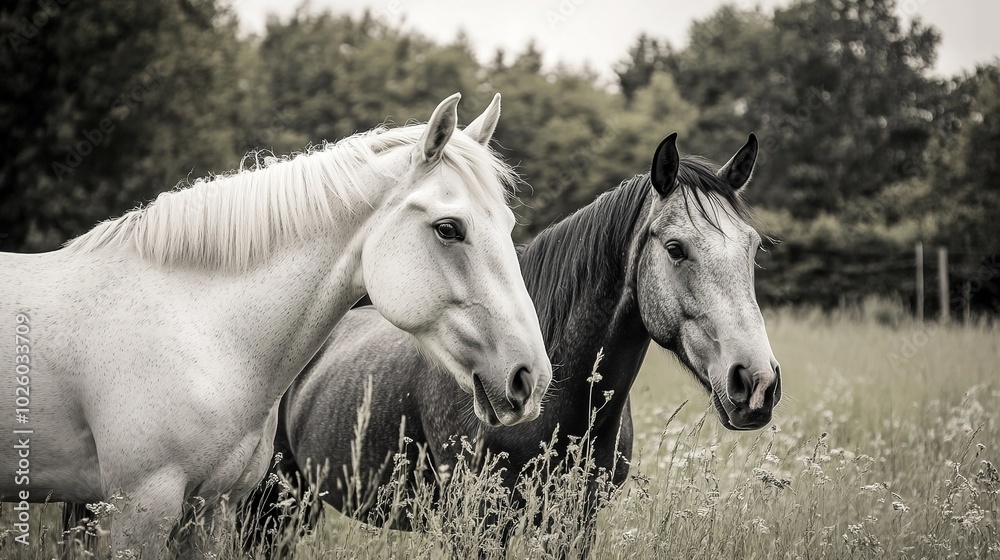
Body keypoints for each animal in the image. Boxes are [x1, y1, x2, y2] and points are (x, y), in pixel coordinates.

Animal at [1, 92, 553, 558]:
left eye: (507, 226)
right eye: (449, 228)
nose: (530, 378)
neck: (202, 333)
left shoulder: (213, 511)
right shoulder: (140, 509)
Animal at [240, 132, 782, 556]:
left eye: (753, 247)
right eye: (675, 248)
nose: (756, 383)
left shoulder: (575, 524)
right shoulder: (477, 524)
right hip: (271, 505)